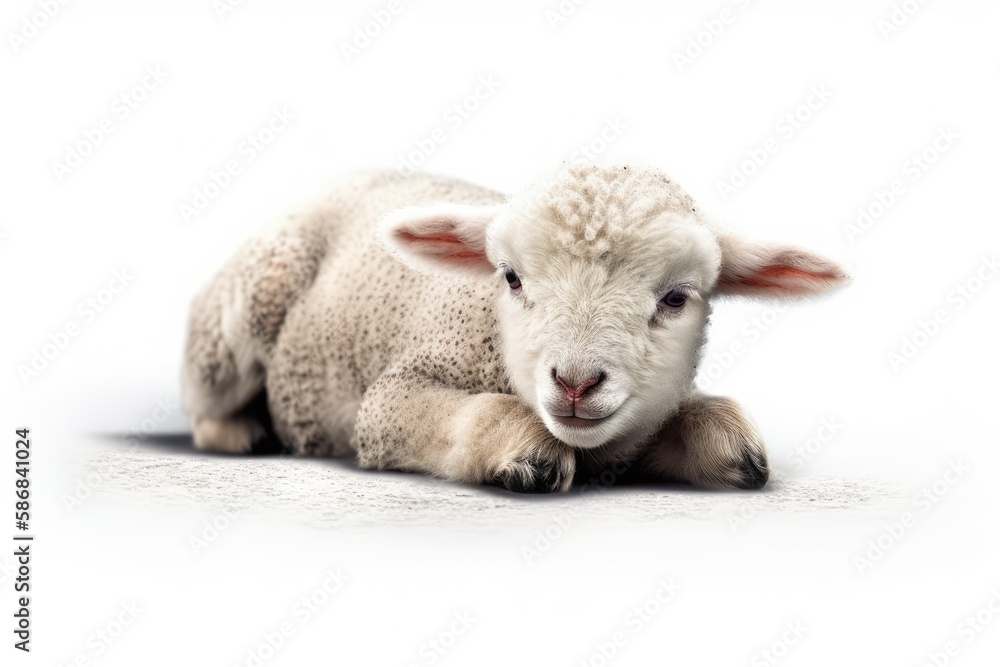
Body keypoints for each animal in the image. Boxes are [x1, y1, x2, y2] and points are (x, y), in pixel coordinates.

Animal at [182, 164, 849, 493]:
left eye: (676, 298)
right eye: (511, 279)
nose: (576, 382)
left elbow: (726, 436)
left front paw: (725, 444)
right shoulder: (389, 399)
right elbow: (475, 415)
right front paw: (525, 454)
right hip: (240, 314)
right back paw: (241, 433)